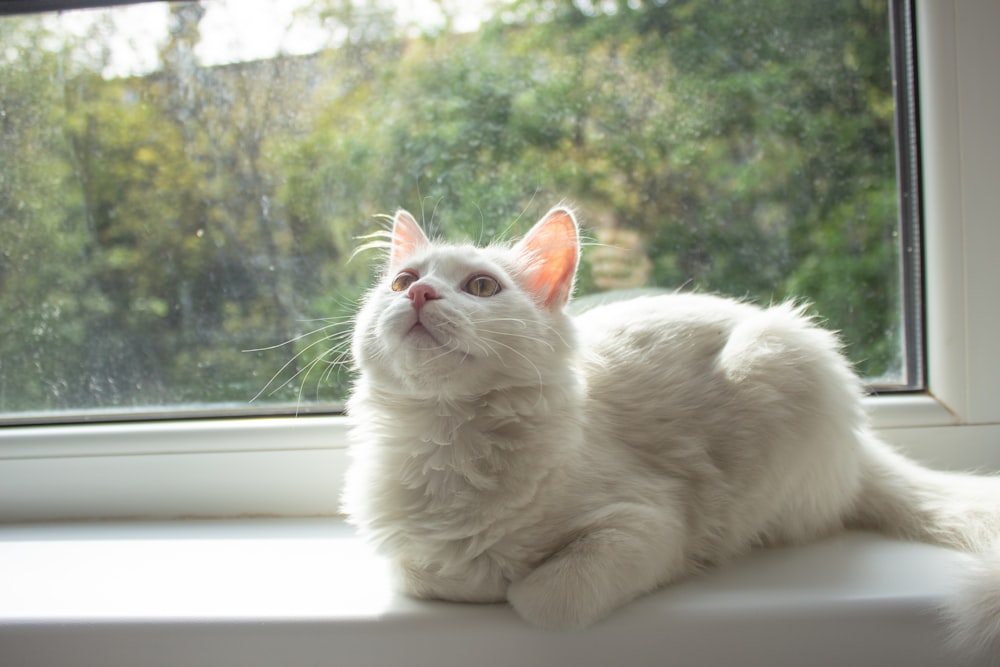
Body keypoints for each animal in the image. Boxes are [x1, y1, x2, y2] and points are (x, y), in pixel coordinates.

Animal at [340, 207, 996, 656]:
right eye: (401, 283)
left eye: (480, 287)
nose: (421, 294)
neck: (449, 437)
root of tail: (862, 446)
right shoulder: (406, 555)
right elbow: (426, 573)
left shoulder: (650, 523)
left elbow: (544, 598)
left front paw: (507, 583)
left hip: (779, 363)